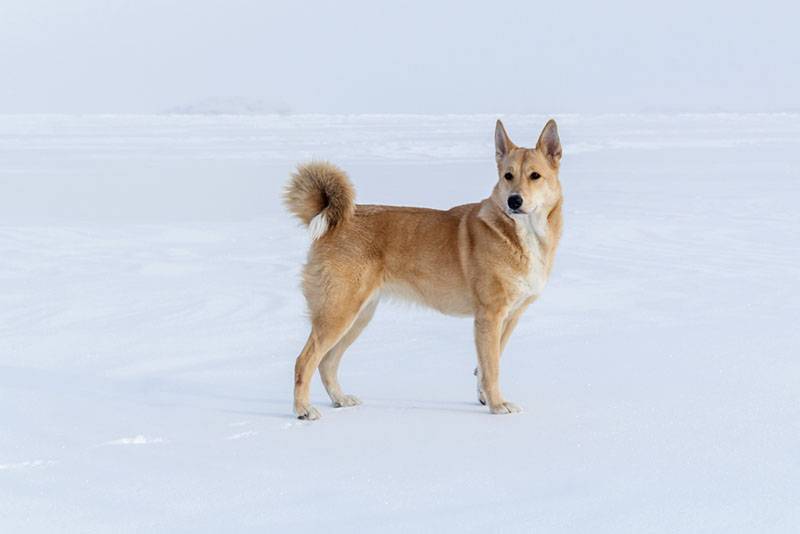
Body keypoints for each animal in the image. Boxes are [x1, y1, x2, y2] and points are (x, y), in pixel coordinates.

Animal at [282, 119, 564, 420]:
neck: (520, 234)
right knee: (304, 361)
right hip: (338, 313)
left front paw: (484, 398)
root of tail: (336, 222)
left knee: (327, 362)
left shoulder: (509, 318)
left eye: (535, 176)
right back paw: (303, 409)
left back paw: (340, 398)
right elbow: (492, 368)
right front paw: (498, 405)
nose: (514, 201)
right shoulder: (489, 317)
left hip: (358, 316)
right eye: (508, 176)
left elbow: (487, 364)